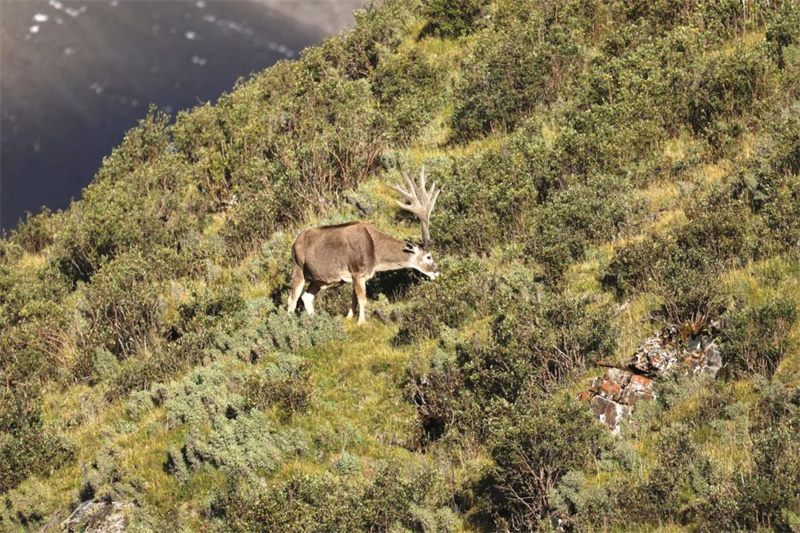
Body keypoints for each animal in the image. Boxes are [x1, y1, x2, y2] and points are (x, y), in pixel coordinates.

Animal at [286, 166, 440, 324]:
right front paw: (362, 322)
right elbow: (362, 300)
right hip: (298, 267)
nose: (437, 271)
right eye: (428, 256)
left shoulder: (359, 276)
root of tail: (294, 243)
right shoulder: (357, 271)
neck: (375, 254)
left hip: (318, 279)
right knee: (292, 298)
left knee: (306, 297)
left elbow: (354, 300)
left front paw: (349, 319)